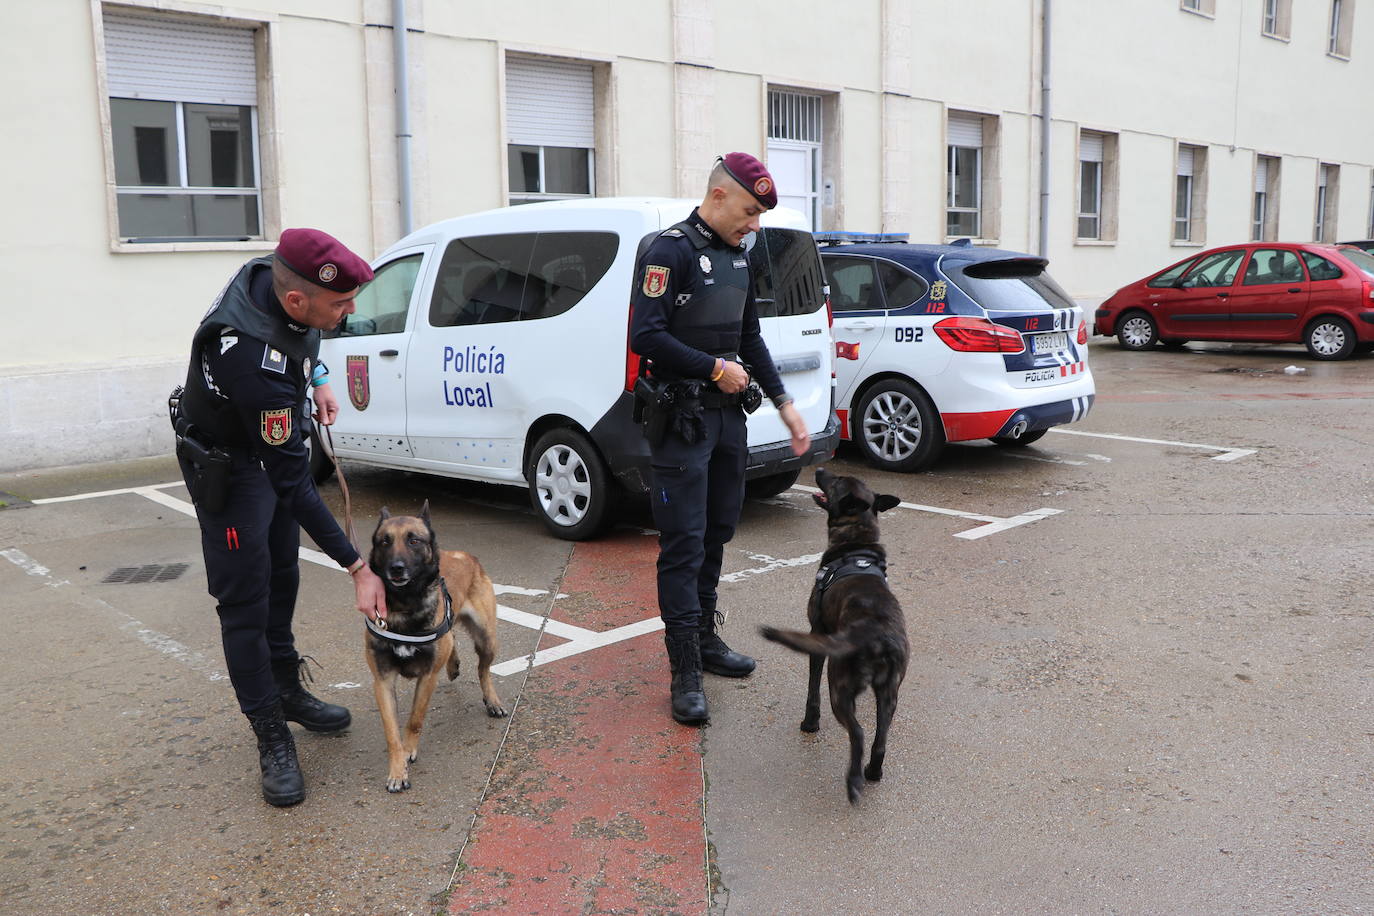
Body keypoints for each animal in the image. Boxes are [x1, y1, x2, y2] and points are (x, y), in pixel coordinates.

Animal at [368, 505, 508, 791]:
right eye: (384, 541)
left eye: (413, 540)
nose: (396, 568)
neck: (404, 606)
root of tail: (467, 556)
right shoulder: (382, 681)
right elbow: (392, 733)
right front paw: (397, 770)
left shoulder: (428, 677)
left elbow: (414, 720)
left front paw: (409, 750)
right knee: (451, 636)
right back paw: (453, 665)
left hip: (487, 639)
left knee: (483, 670)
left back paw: (492, 700)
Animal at [758, 469, 906, 807]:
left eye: (836, 480)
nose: (819, 470)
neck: (856, 545)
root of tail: (879, 639)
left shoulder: (817, 634)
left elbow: (811, 688)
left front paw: (810, 723)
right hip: (889, 695)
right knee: (879, 740)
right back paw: (872, 773)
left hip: (840, 688)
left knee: (859, 733)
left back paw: (853, 782)